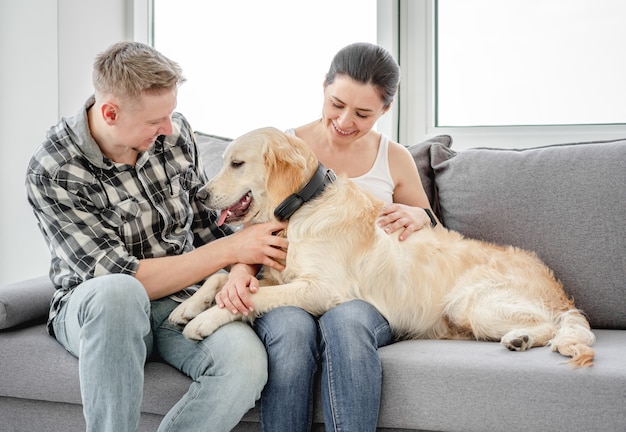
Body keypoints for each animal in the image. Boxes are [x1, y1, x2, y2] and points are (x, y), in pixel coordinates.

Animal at [171, 126, 596, 366]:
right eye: (225, 160)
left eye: (237, 164)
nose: (200, 194)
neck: (302, 207)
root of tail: (559, 291)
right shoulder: (283, 276)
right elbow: (223, 277)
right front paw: (188, 307)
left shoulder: (323, 289)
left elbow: (252, 296)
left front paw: (203, 320)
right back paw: (517, 339)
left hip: (475, 303)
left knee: (551, 326)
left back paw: (521, 338)